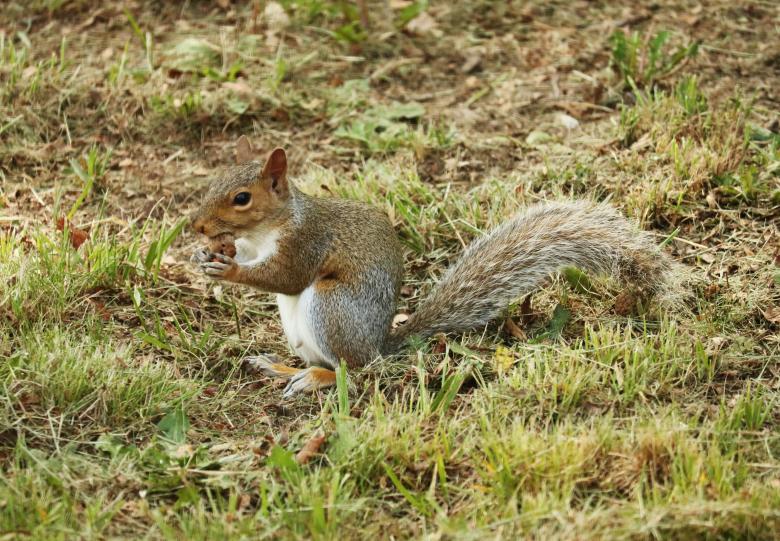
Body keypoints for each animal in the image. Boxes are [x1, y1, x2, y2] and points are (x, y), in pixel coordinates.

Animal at [190, 137, 675, 397]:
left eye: (241, 198)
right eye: (212, 183)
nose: (197, 226)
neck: (267, 229)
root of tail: (379, 346)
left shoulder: (307, 242)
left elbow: (283, 276)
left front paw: (228, 270)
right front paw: (208, 254)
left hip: (331, 309)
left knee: (353, 371)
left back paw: (314, 379)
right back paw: (281, 369)